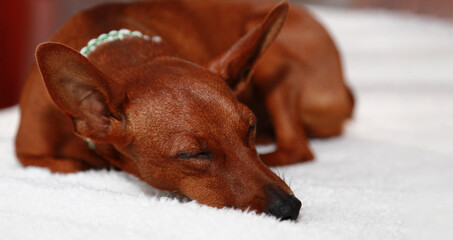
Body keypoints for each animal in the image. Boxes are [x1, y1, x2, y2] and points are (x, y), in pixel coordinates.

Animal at [15, 0, 354, 221]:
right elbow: (74, 165)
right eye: (193, 154)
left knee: (297, 147)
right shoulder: (27, 156)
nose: (289, 209)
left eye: (250, 128)